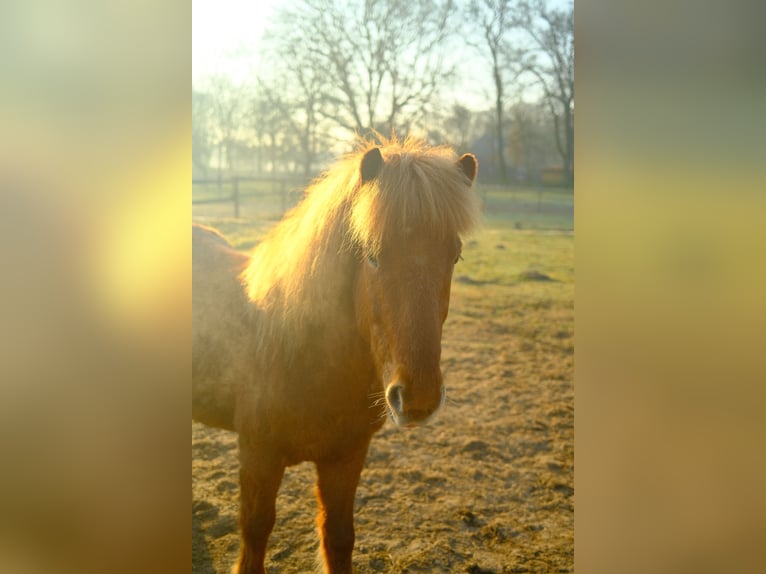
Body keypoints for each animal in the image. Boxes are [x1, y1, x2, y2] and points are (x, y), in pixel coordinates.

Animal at [192, 136, 479, 574]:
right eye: (372, 255)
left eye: (455, 256)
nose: (419, 398)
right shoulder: (257, 455)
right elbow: (255, 531)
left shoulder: (346, 457)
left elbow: (339, 535)